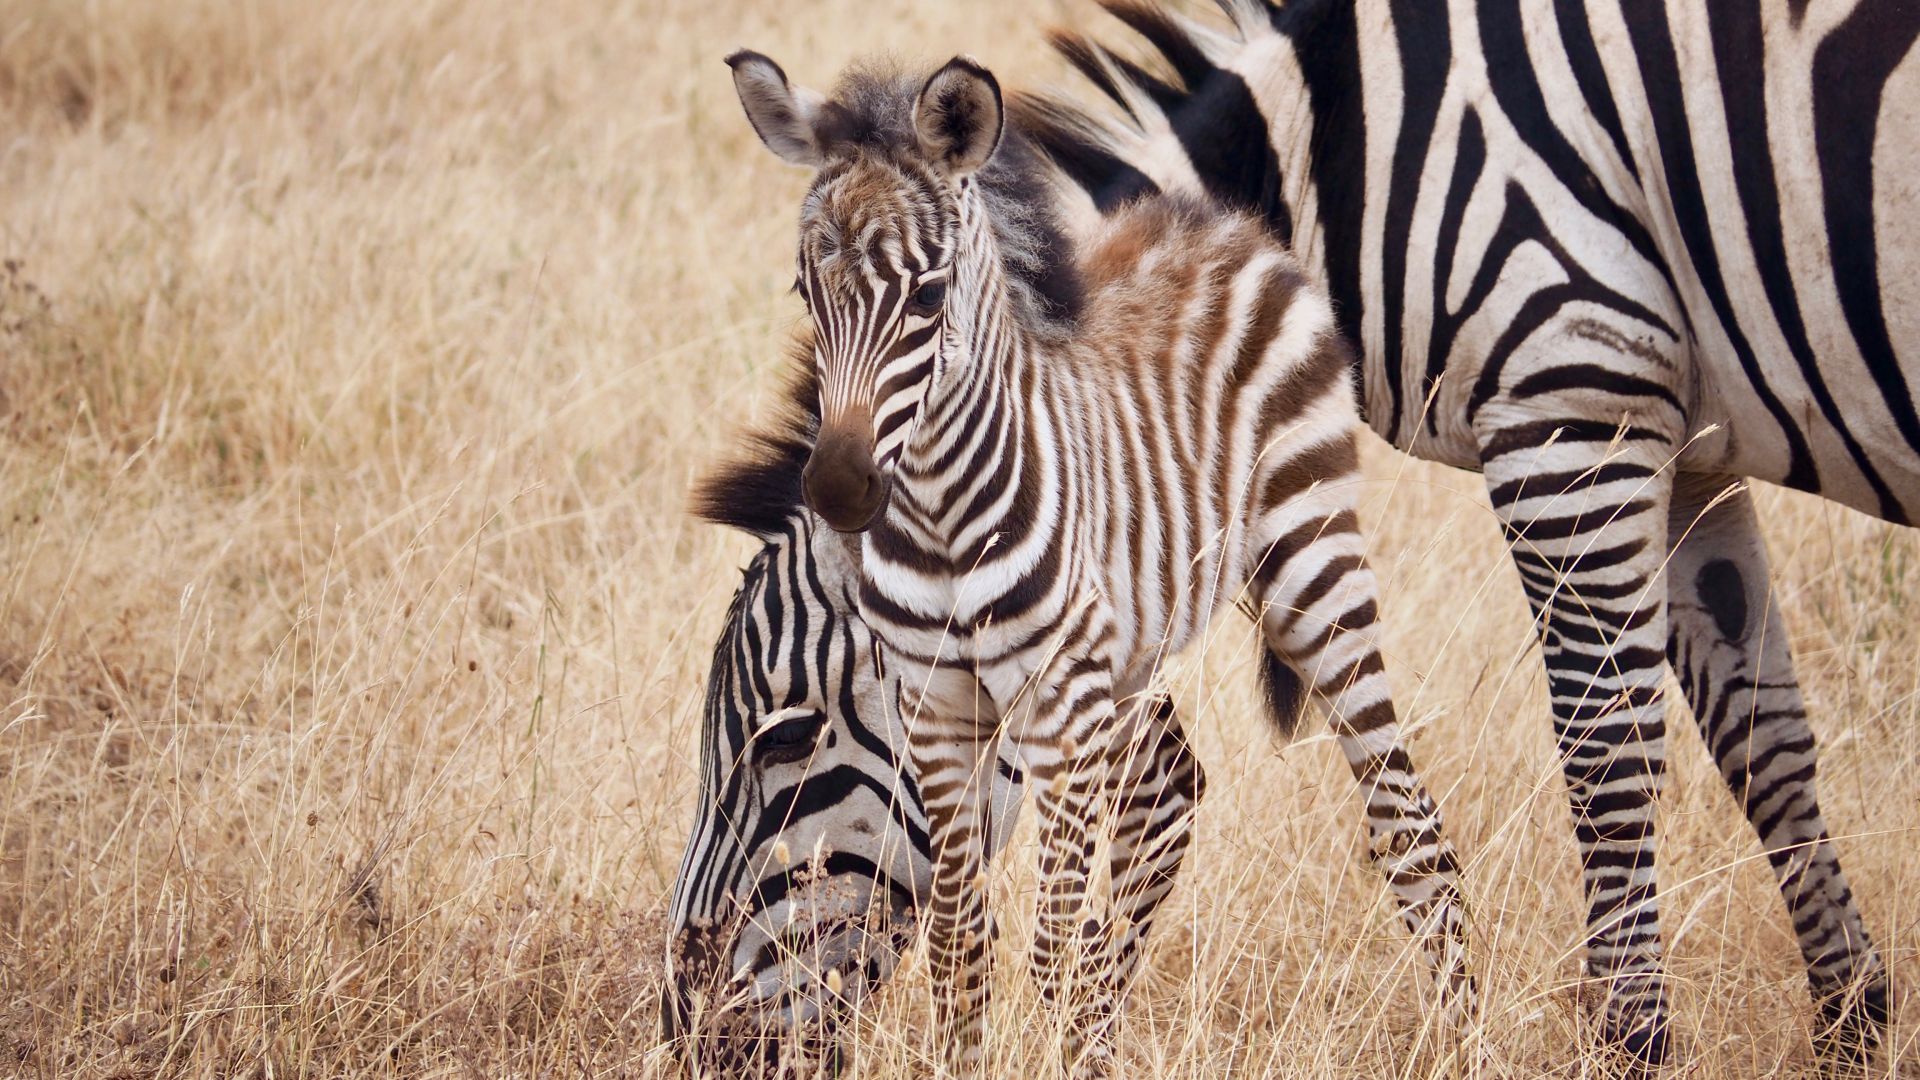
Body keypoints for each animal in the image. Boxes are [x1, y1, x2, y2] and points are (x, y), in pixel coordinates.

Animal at [725, 48, 1474, 1068]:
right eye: (808, 295)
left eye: (928, 297)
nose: (839, 491)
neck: (945, 522)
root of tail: (1219, 221)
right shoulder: (937, 712)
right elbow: (962, 945)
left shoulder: (1056, 710)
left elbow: (1048, 946)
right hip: (1127, 658)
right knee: (1159, 810)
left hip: (1313, 564)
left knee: (1406, 826)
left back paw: (1467, 1038)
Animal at [1013, 0, 1912, 1060]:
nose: (1066, 1033)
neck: (1337, 160)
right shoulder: (1691, 448)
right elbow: (1761, 738)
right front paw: (1852, 1021)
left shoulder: (1569, 404)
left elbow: (1607, 752)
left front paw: (1630, 1038)